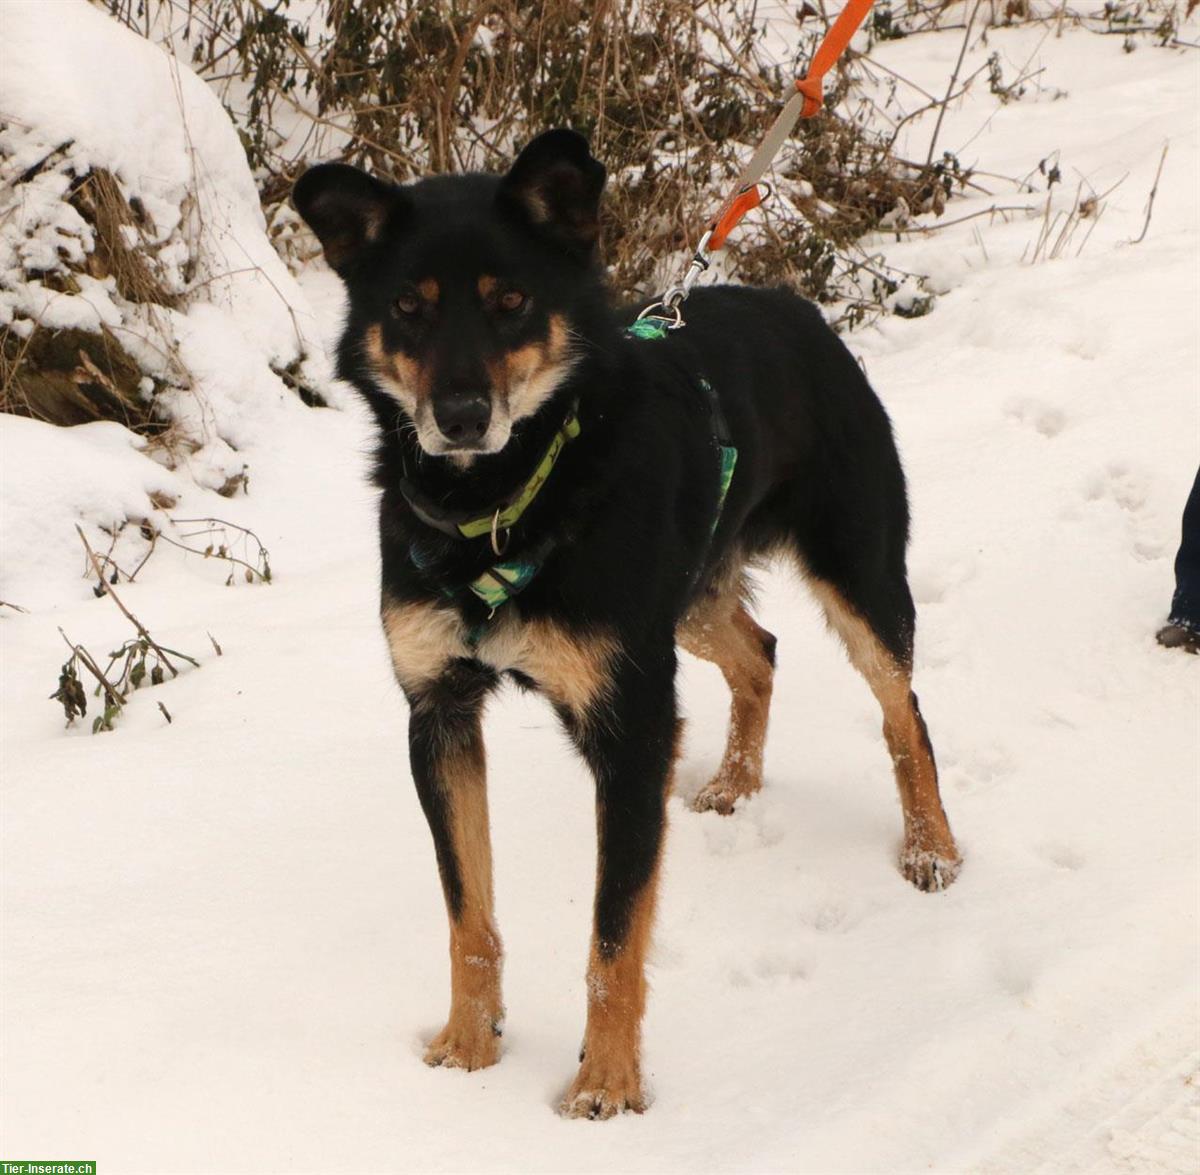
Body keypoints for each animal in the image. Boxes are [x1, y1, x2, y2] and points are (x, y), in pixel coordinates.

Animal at [295, 128, 960, 1123]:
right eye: (408, 308)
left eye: (511, 302)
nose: (460, 418)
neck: (506, 500)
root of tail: (793, 305)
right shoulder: (438, 713)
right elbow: (468, 915)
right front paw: (469, 1045)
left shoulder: (631, 725)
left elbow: (614, 937)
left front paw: (606, 1084)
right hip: (685, 600)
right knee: (760, 653)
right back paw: (734, 781)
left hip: (855, 578)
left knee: (902, 708)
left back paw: (929, 847)